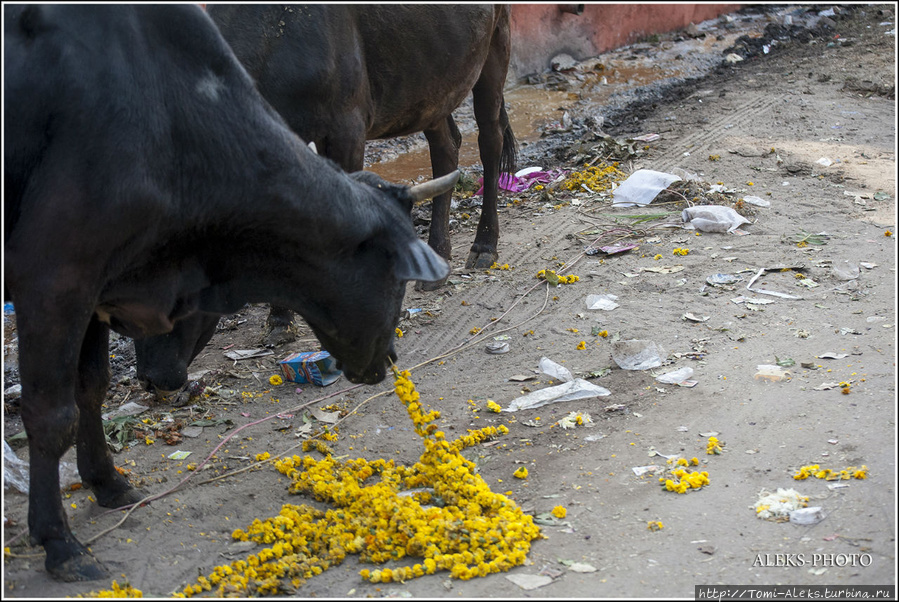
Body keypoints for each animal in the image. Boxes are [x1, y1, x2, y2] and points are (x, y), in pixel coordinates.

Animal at [3, 3, 458, 576]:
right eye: (397, 279)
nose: (390, 358)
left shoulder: (95, 289)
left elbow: (92, 389)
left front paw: (107, 482)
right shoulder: (55, 280)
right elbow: (51, 415)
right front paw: (58, 541)